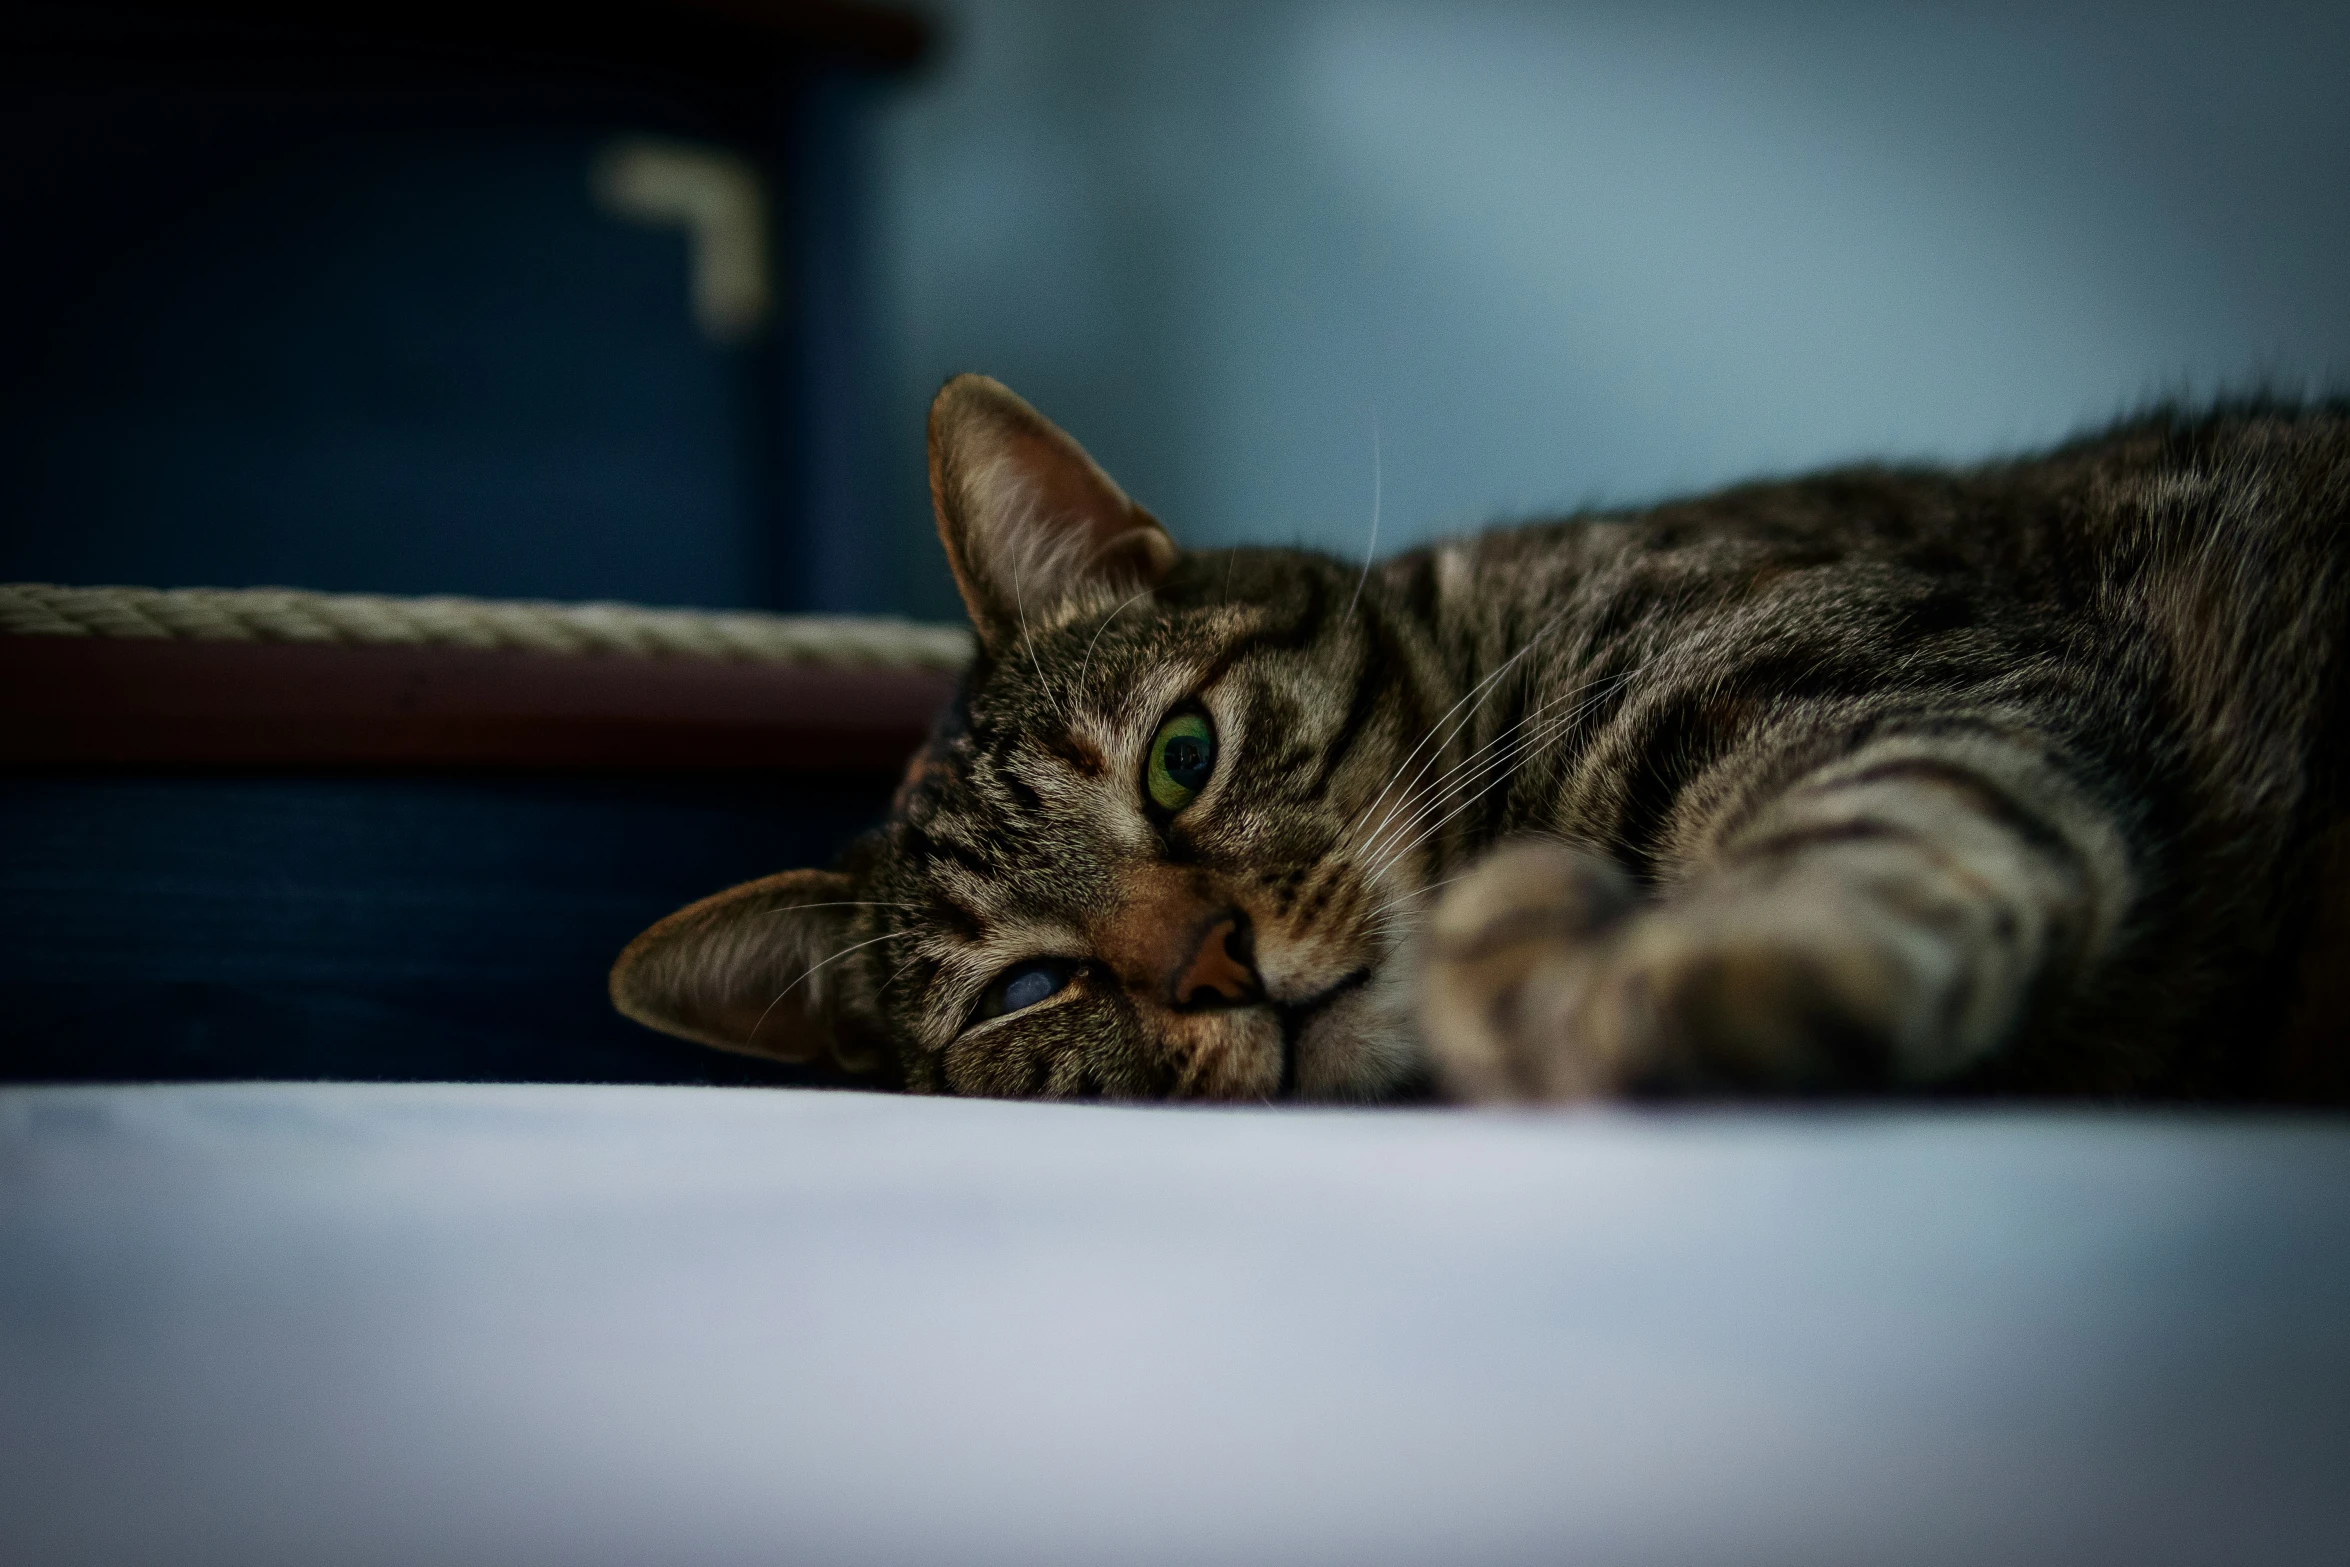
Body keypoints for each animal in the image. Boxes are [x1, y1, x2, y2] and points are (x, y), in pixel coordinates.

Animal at [611, 375, 2350, 1104]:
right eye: (1028, 991)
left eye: (1180, 756)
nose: (1215, 963)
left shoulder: (1906, 681)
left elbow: (1894, 830)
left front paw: (1665, 969)